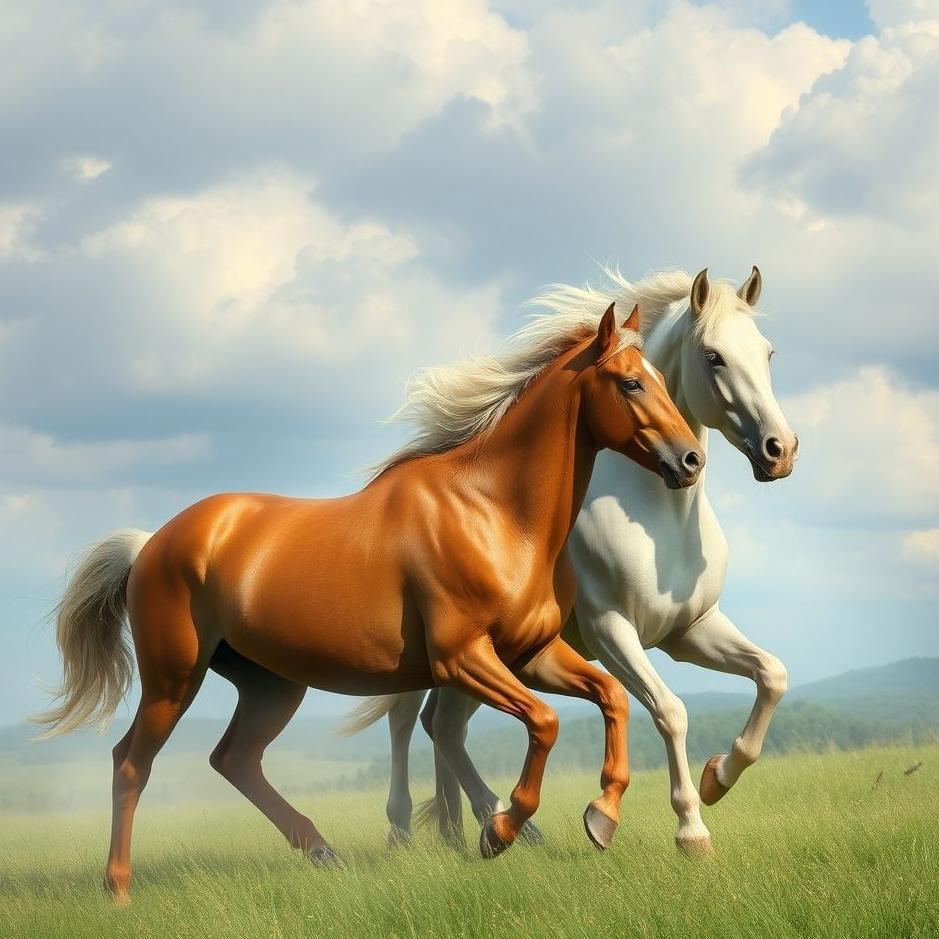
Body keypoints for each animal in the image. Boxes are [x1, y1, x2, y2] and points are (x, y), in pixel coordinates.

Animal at [34, 300, 704, 903]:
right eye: (631, 382)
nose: (690, 459)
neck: (494, 512)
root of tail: (151, 544)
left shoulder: (531, 654)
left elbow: (611, 697)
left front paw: (601, 815)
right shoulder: (463, 658)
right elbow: (545, 722)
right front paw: (501, 831)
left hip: (271, 685)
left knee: (234, 760)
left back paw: (322, 851)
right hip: (174, 679)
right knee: (130, 763)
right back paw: (118, 889)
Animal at [348, 267, 798, 855]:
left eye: (767, 353)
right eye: (713, 356)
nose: (779, 450)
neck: (659, 521)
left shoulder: (690, 629)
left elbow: (772, 675)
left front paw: (717, 777)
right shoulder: (612, 631)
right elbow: (670, 710)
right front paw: (690, 829)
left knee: (441, 726)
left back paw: (476, 829)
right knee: (410, 721)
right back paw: (414, 830)